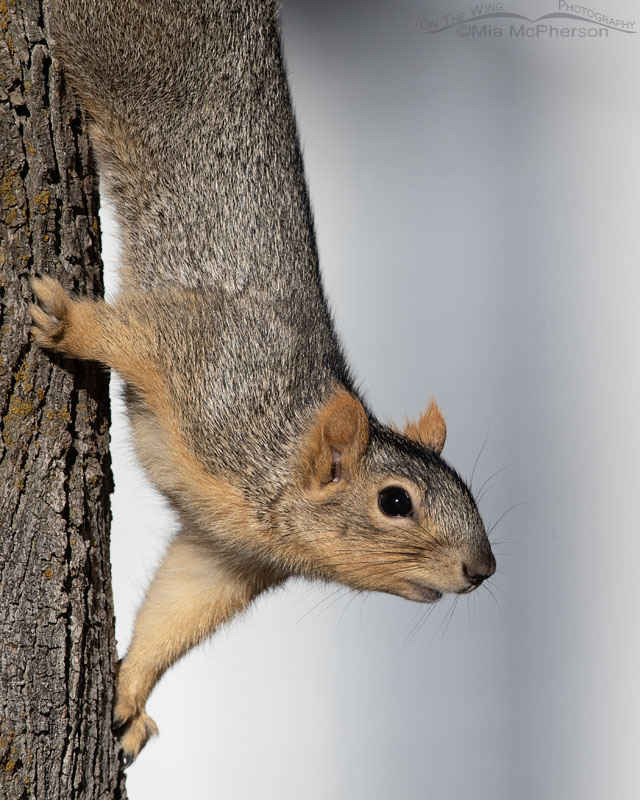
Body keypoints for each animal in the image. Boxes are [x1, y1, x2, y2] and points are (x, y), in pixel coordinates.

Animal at [32, 0, 498, 764]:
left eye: (468, 490)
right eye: (395, 502)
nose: (483, 568)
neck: (277, 445)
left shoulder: (225, 551)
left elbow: (177, 610)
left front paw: (130, 698)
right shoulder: (201, 354)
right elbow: (129, 332)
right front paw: (67, 322)